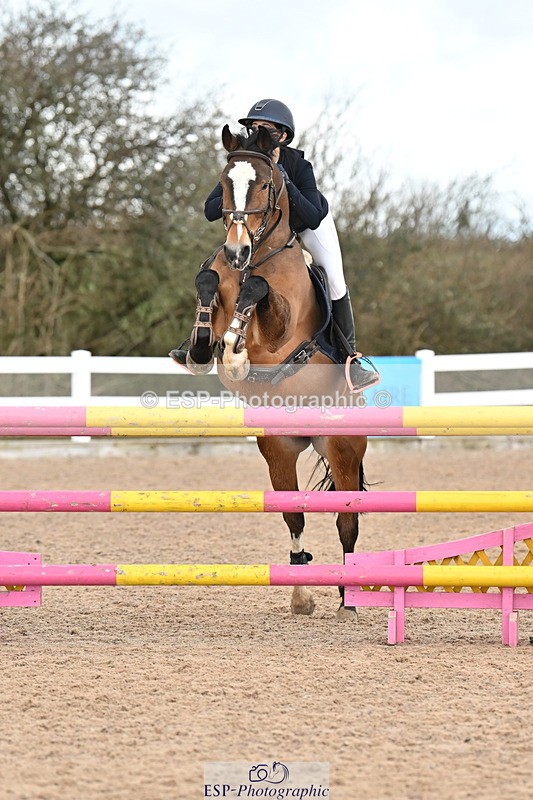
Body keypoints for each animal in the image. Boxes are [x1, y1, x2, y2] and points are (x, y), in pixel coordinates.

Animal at [170, 124, 367, 618]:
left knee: (348, 522)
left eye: (264, 184)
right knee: (294, 514)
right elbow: (208, 282)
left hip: (344, 448)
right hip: (278, 449)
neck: (257, 255)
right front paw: (205, 347)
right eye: (223, 184)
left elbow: (259, 292)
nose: (236, 249)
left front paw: (237, 349)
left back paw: (348, 599)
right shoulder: (218, 277)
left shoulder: (281, 324)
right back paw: (301, 593)